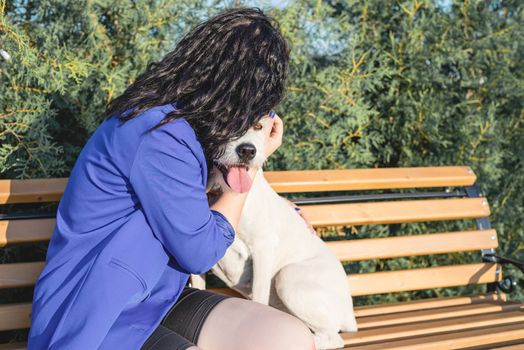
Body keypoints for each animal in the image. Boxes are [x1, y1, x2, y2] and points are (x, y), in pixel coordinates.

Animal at [207, 115, 358, 350]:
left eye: (258, 126)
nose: (247, 151)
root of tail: (349, 313)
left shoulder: (262, 248)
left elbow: (259, 297)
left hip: (288, 278)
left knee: (333, 337)